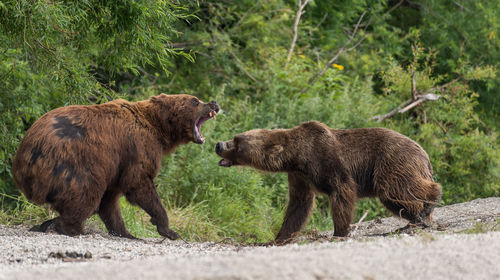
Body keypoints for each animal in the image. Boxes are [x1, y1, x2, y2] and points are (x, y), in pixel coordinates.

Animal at [11, 93, 219, 238]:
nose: (214, 103)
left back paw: (46, 224)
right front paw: (168, 229)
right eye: (194, 101)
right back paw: (72, 228)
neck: (158, 129)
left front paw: (126, 233)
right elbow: (139, 183)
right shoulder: (137, 148)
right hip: (73, 163)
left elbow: (110, 201)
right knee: (86, 194)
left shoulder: (117, 165)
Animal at [215, 121, 442, 242]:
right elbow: (298, 205)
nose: (219, 144)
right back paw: (417, 217)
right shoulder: (299, 176)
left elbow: (342, 191)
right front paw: (279, 237)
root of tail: (424, 152)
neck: (297, 157)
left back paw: (428, 204)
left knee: (395, 188)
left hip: (391, 160)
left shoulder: (326, 160)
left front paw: (339, 231)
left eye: (237, 142)